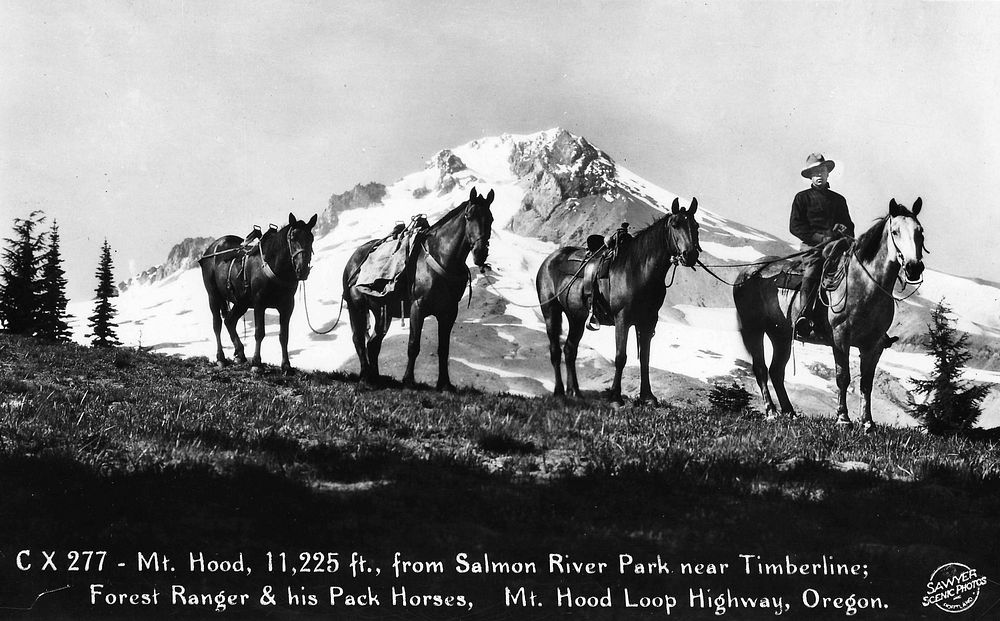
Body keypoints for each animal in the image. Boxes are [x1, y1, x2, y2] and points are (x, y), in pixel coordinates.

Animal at [199, 213, 316, 372]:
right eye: (293, 237)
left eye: (311, 238)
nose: (302, 270)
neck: (272, 264)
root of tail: (211, 250)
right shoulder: (259, 303)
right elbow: (259, 332)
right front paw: (256, 363)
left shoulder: (287, 306)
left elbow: (284, 335)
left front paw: (286, 365)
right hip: (213, 296)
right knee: (217, 324)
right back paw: (221, 358)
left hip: (241, 302)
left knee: (230, 320)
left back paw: (240, 354)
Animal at [344, 185, 496, 388]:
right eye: (469, 216)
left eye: (490, 219)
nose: (480, 253)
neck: (441, 256)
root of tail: (353, 259)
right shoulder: (418, 307)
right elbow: (413, 345)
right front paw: (408, 380)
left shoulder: (448, 312)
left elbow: (443, 349)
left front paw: (444, 384)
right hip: (357, 308)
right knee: (359, 340)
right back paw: (365, 376)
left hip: (382, 313)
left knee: (373, 344)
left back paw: (376, 377)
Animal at [536, 196, 700, 404]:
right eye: (675, 224)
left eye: (695, 225)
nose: (690, 255)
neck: (638, 270)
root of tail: (548, 261)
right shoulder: (623, 319)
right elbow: (621, 357)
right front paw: (615, 396)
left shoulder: (648, 322)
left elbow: (645, 358)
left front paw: (648, 397)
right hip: (551, 312)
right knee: (555, 351)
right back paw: (559, 392)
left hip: (577, 318)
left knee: (570, 350)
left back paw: (576, 393)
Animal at [732, 199, 924, 432]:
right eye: (895, 231)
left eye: (920, 232)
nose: (914, 267)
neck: (866, 284)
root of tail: (748, 273)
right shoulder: (841, 338)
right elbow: (843, 377)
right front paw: (843, 419)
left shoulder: (873, 345)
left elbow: (866, 383)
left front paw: (868, 423)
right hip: (754, 329)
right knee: (760, 368)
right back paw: (771, 412)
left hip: (781, 336)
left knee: (776, 371)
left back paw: (790, 413)